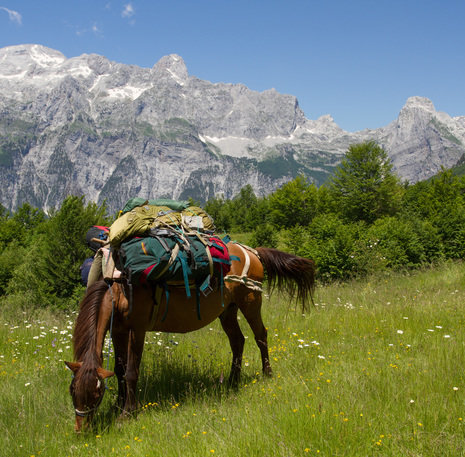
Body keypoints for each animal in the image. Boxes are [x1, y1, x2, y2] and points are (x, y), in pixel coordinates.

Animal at [64, 242, 316, 432]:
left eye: (96, 393)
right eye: (72, 390)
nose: (81, 429)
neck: (117, 285)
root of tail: (252, 251)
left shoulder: (138, 328)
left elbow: (132, 371)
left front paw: (127, 412)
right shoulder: (118, 329)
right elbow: (119, 369)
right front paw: (118, 404)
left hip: (251, 302)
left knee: (261, 336)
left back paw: (267, 373)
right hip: (228, 310)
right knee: (238, 341)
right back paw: (232, 381)